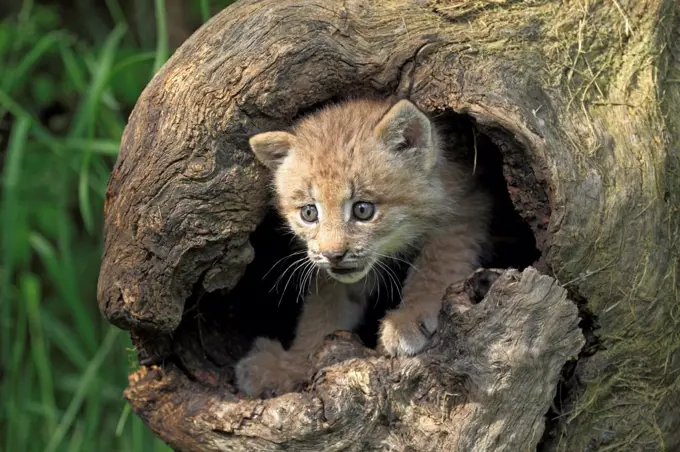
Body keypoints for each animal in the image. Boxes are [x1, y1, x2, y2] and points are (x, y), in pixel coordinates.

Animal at [234, 98, 488, 396]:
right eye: (309, 213)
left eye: (363, 210)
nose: (333, 255)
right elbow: (324, 310)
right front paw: (291, 365)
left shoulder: (468, 209)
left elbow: (437, 264)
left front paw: (410, 317)